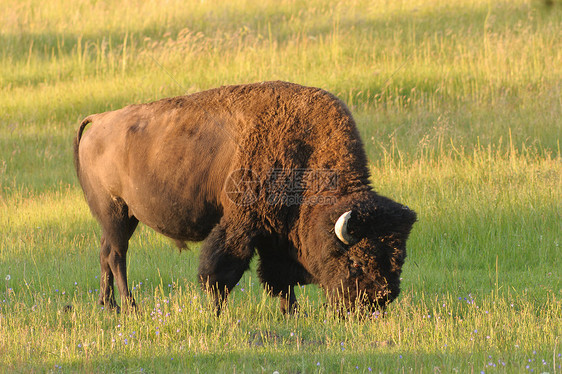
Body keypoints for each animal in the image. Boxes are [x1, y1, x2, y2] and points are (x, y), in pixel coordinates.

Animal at [73, 80, 416, 314]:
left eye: (399, 258)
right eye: (356, 260)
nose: (378, 300)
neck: (303, 151)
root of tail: (99, 119)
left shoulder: (276, 232)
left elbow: (279, 277)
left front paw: (291, 312)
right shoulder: (241, 224)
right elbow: (222, 271)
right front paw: (217, 311)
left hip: (121, 218)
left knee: (106, 253)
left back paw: (108, 305)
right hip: (116, 213)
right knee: (117, 256)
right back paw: (129, 306)